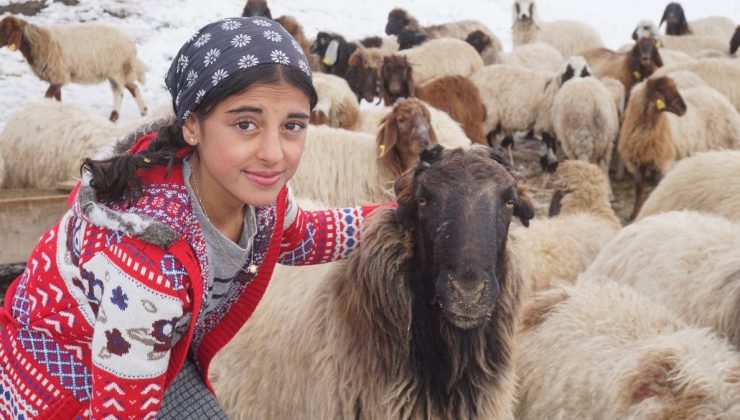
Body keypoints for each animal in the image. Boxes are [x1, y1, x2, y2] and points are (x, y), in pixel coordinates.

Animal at [0, 14, 149, 122]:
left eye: (7, 29)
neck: (41, 42)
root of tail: (130, 43)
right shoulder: (56, 77)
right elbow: (57, 98)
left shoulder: (59, 75)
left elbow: (48, 97)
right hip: (119, 70)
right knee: (133, 88)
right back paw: (143, 112)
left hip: (116, 68)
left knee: (120, 91)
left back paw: (114, 116)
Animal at [620, 76, 740, 220]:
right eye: (661, 89)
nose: (684, 109)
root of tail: (717, 94)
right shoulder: (637, 162)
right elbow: (639, 189)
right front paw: (634, 213)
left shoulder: (664, 161)